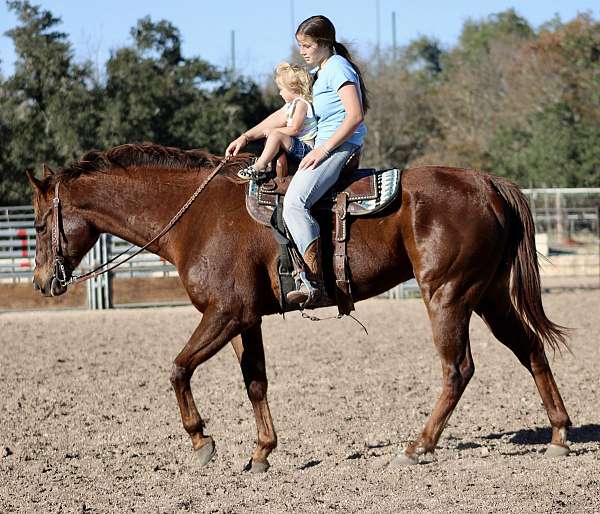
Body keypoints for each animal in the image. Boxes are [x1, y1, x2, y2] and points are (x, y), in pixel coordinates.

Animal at [28, 142, 572, 470]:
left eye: (36, 224)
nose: (41, 282)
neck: (197, 218)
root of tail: (486, 184)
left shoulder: (223, 314)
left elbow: (178, 370)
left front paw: (203, 443)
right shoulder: (245, 320)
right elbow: (255, 382)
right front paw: (262, 453)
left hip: (448, 295)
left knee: (458, 369)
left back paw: (417, 446)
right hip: (489, 296)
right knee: (529, 350)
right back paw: (560, 434)